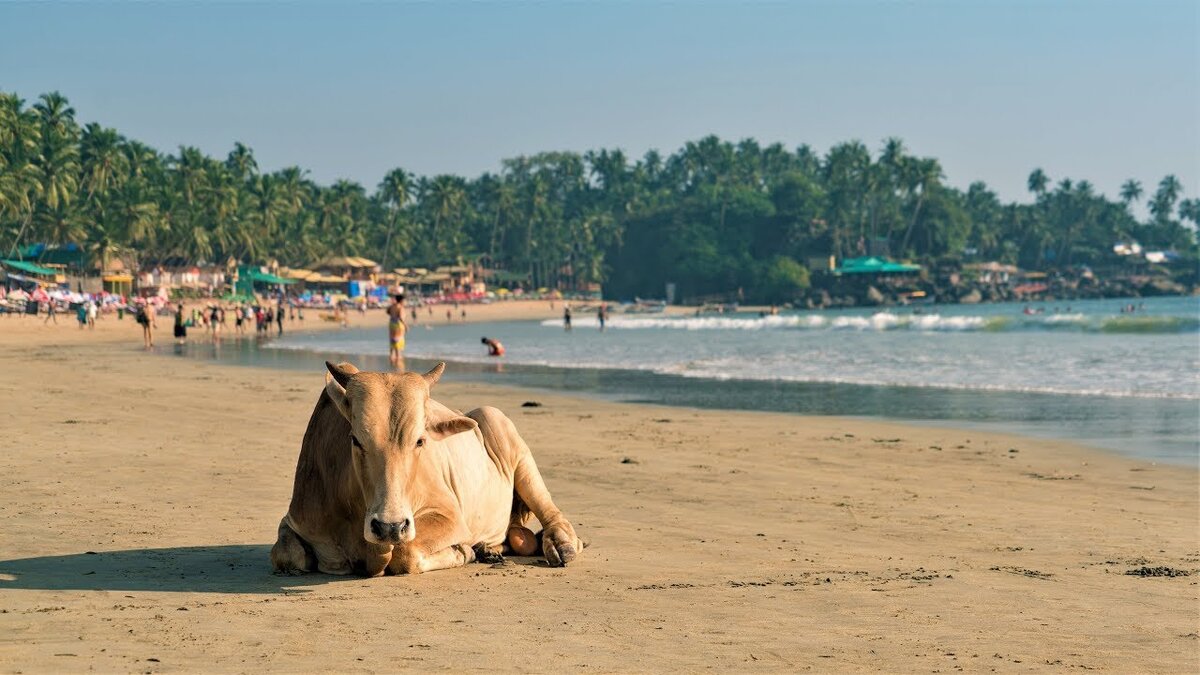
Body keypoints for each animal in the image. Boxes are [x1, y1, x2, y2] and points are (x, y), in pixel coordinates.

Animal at [273, 357, 590, 571]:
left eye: (420, 440)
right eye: (355, 439)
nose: (389, 527)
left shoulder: (448, 516)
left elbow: (406, 554)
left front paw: (464, 552)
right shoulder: (296, 519)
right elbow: (286, 555)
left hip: (505, 431)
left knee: (551, 511)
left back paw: (559, 544)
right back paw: (489, 548)